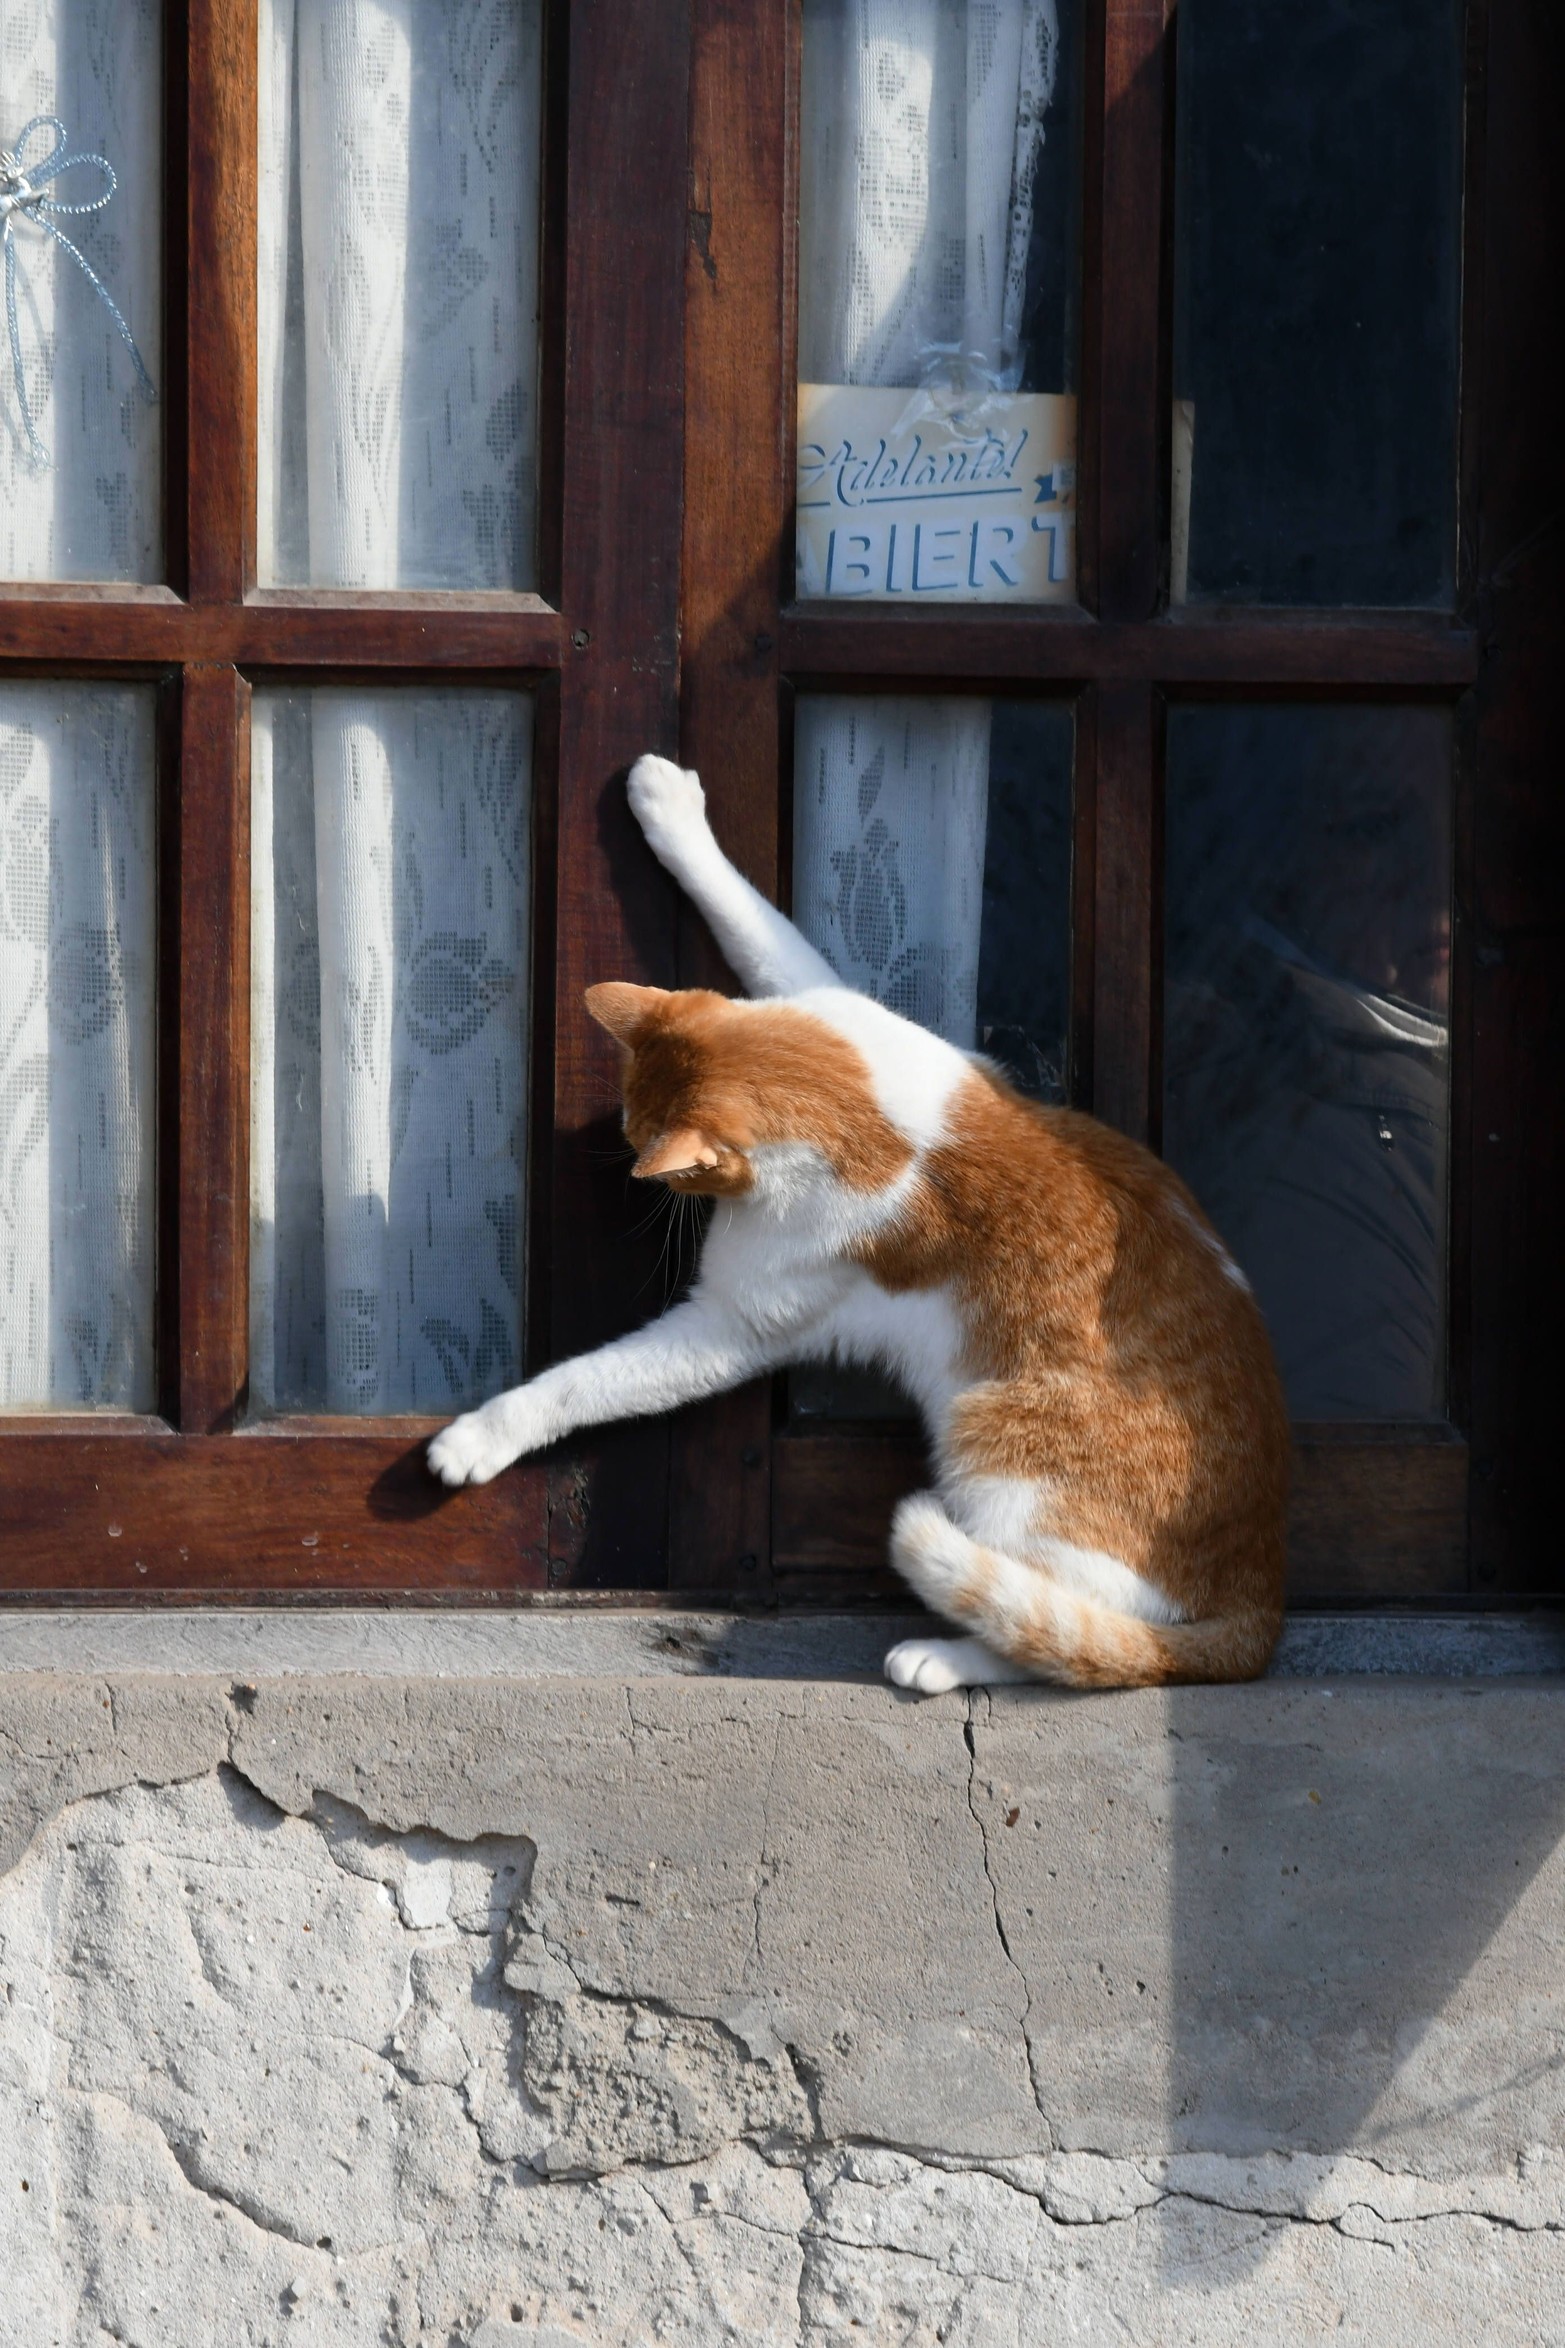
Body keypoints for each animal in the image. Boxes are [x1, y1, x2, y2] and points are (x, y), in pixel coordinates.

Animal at [434, 751, 1295, 1690]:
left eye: (635, 1136)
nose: (623, 1151)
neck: (863, 1112)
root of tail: (1261, 1598)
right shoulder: (834, 1003)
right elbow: (756, 921)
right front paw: (668, 810)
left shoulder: (733, 1325)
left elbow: (587, 1380)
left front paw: (483, 1434)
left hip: (995, 1462)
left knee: (1066, 1640)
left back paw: (944, 1657)